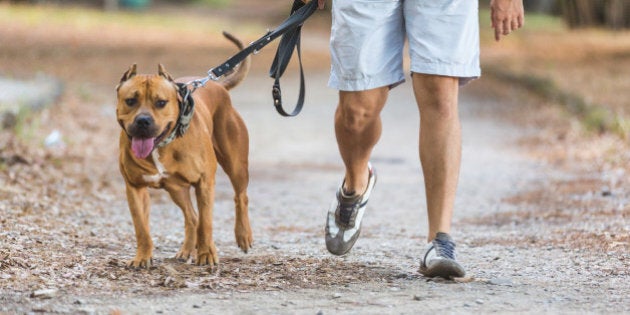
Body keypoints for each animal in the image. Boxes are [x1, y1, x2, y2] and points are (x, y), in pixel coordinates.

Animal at [115, 32, 253, 270]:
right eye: (130, 101)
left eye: (161, 102)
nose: (143, 121)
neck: (161, 146)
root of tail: (218, 86)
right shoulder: (135, 187)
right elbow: (141, 228)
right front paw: (142, 257)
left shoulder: (204, 182)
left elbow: (207, 223)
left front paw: (206, 254)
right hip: (176, 188)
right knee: (192, 217)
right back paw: (187, 249)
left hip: (236, 166)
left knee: (240, 197)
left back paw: (243, 235)